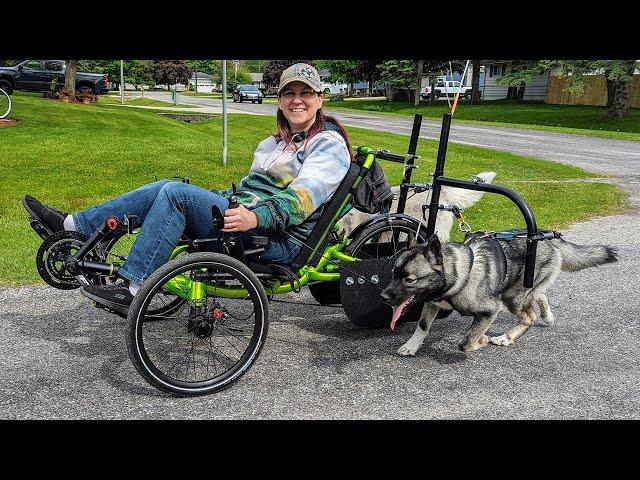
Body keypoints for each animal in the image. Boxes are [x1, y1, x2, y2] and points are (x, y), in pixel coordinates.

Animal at [382, 234, 616, 354]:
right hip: (522, 292)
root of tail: (548, 239)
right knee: (541, 295)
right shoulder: (433, 303)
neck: (457, 275)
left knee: (529, 317)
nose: (383, 297)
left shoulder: (490, 311)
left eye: (409, 280)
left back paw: (506, 338)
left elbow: (466, 342)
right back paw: (547, 316)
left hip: (512, 297)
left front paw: (482, 340)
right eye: (393, 273)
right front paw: (411, 346)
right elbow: (422, 326)